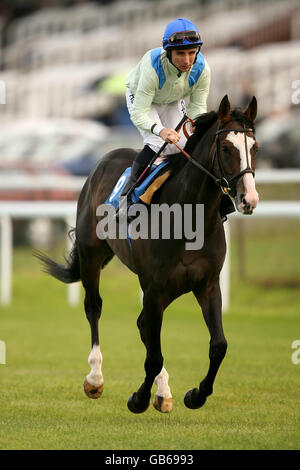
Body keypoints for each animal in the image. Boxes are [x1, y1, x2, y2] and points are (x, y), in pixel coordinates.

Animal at [37, 95, 258, 414]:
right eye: (227, 148)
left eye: (254, 147)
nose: (248, 199)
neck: (188, 218)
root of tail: (106, 157)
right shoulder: (154, 287)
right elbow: (153, 356)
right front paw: (138, 398)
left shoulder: (206, 284)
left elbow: (218, 345)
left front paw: (195, 395)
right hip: (92, 255)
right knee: (94, 307)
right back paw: (95, 378)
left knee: (144, 326)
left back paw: (163, 392)